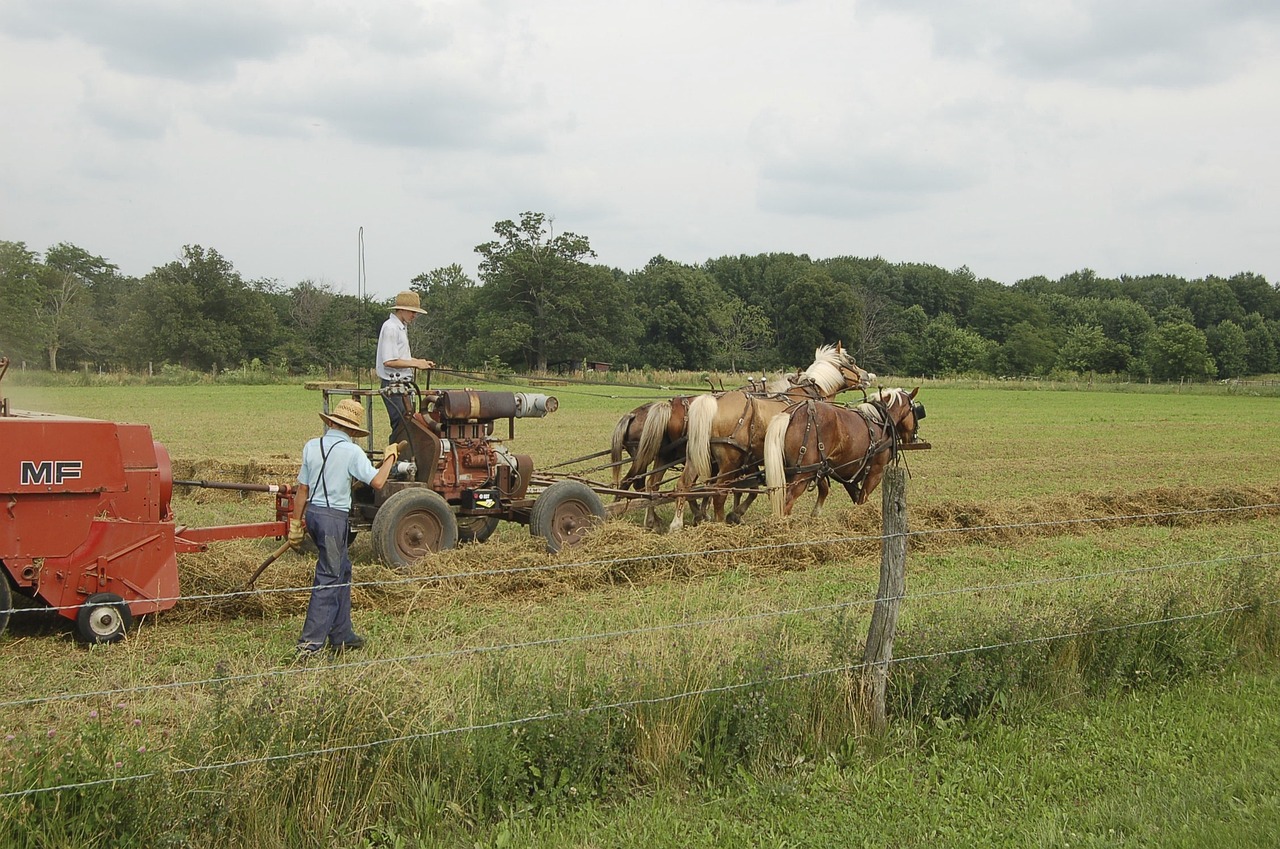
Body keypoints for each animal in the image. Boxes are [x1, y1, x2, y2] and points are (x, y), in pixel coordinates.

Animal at [670, 343, 870, 532]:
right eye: (851, 361)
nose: (867, 376)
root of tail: (713, 402)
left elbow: (752, 489)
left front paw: (737, 513)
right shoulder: (812, 462)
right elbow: (822, 488)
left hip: (696, 456)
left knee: (684, 484)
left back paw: (678, 523)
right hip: (728, 462)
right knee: (718, 493)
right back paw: (717, 525)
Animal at [762, 386, 926, 517]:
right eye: (915, 411)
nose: (913, 438)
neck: (882, 420)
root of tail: (790, 414)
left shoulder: (844, 475)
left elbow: (846, 496)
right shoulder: (875, 473)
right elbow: (862, 500)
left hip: (795, 472)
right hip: (803, 473)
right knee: (787, 502)